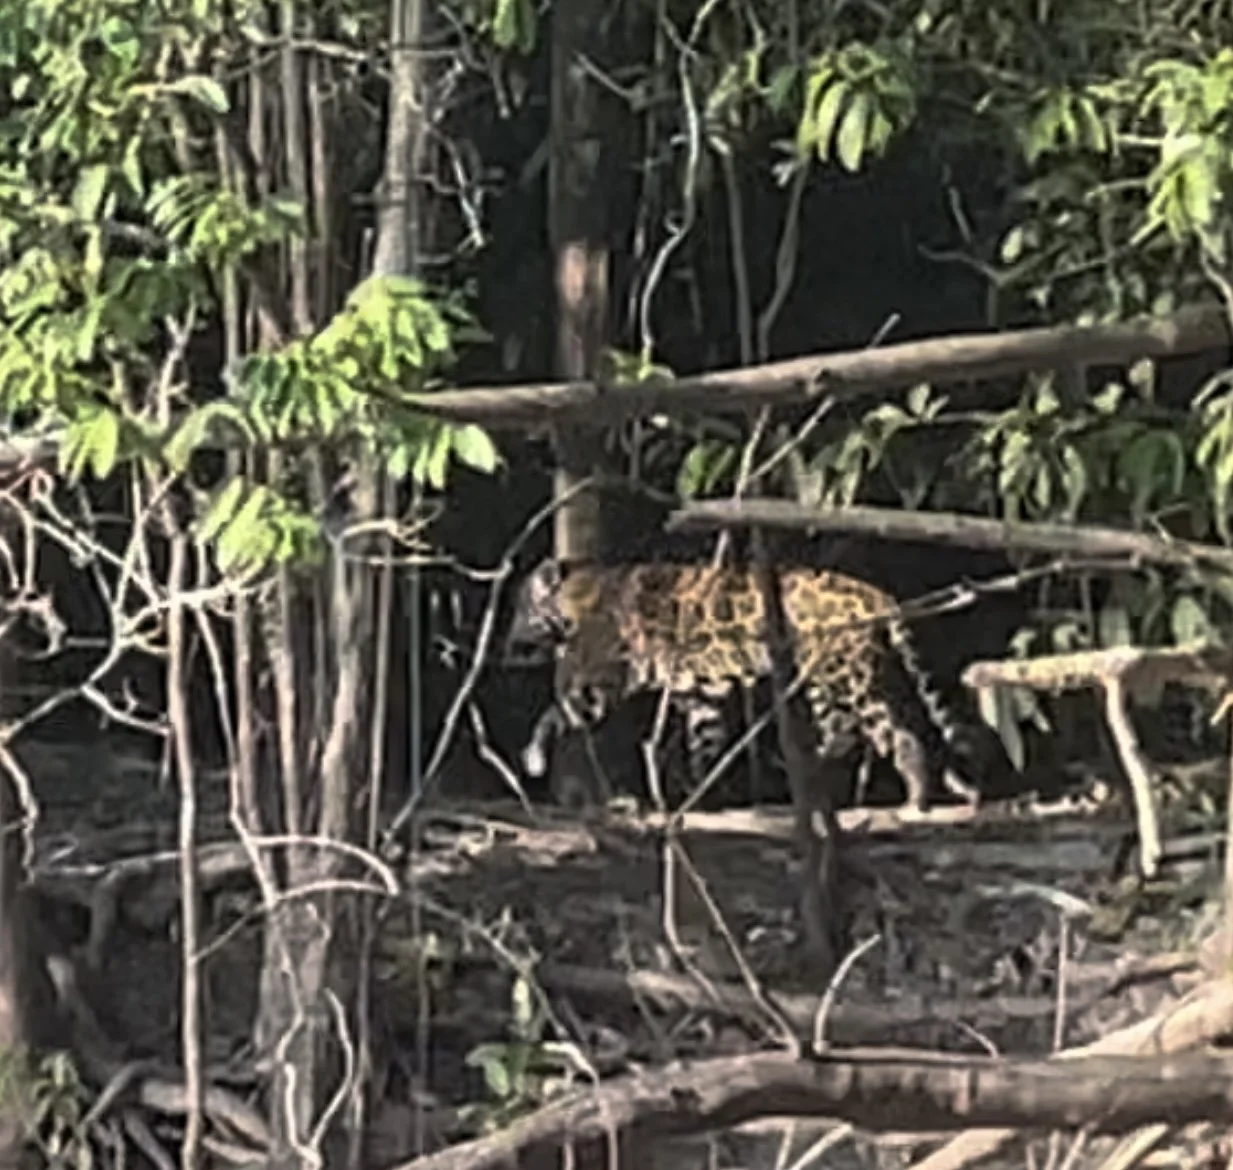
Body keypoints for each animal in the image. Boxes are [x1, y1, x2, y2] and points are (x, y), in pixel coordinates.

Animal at [503, 557, 1020, 811]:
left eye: (519, 608)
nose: (508, 640)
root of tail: (877, 594)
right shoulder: (701, 694)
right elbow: (704, 744)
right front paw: (699, 791)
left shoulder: (600, 683)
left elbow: (556, 712)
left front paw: (531, 757)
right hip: (842, 675)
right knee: (869, 731)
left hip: (845, 674)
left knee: (883, 733)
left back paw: (906, 799)